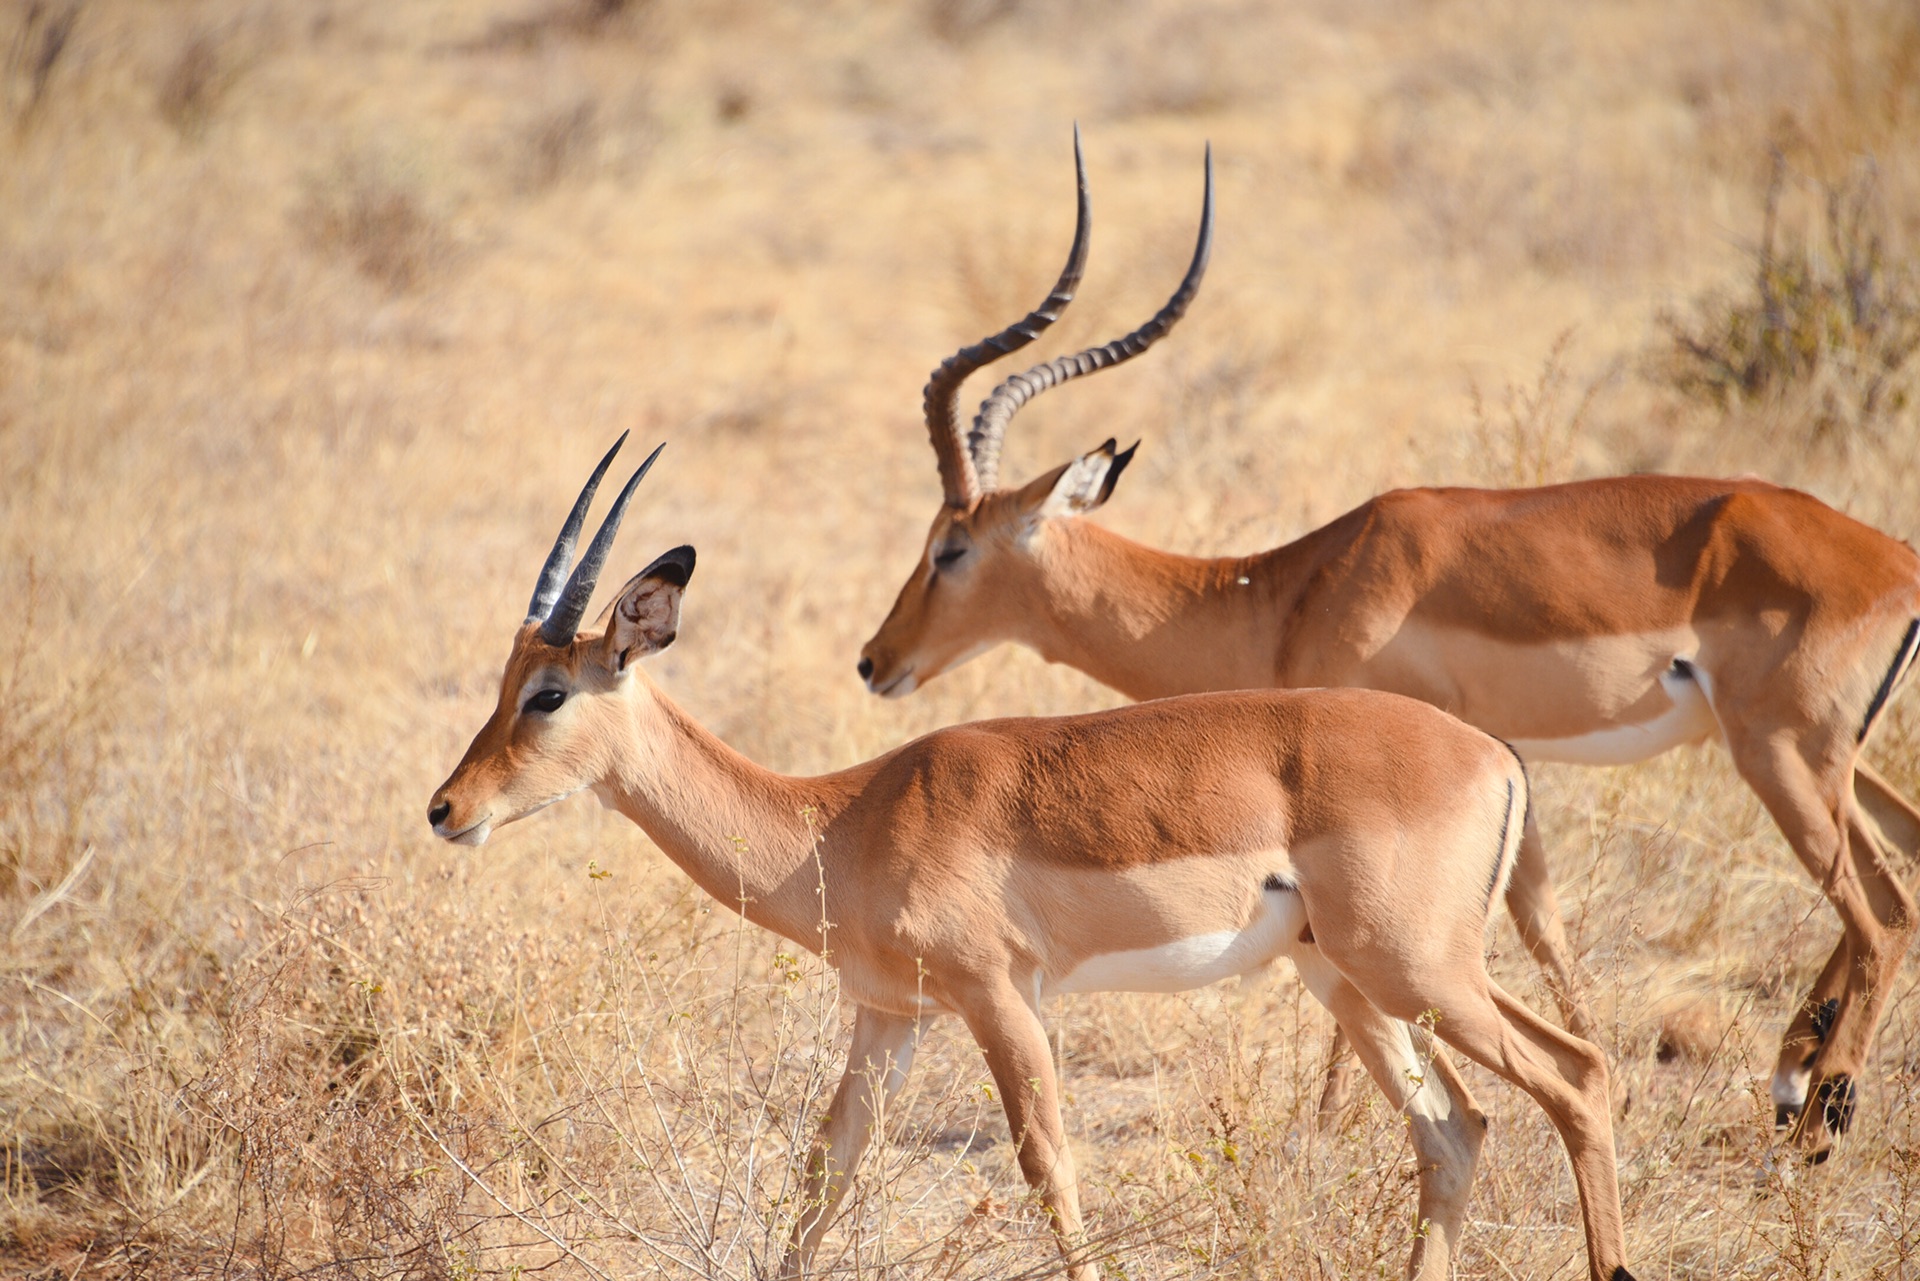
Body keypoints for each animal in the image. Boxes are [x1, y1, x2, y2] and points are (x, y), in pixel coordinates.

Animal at [428, 435, 1643, 1275]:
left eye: (548, 693)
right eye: (501, 681)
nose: (445, 809)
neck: (845, 819)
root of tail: (1492, 754)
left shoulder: (1001, 998)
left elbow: (1047, 1165)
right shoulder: (889, 1017)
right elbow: (826, 1171)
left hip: (1419, 968)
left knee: (1581, 1076)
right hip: (1346, 978)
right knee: (1455, 1133)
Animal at [864, 138, 1920, 1160]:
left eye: (949, 546)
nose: (875, 659)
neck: (1292, 587)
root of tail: (1895, 560)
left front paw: (1330, 1118)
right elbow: (1542, 918)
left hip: (1778, 754)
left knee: (1881, 910)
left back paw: (1820, 1119)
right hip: (1825, 758)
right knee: (1896, 875)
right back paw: (1791, 1083)